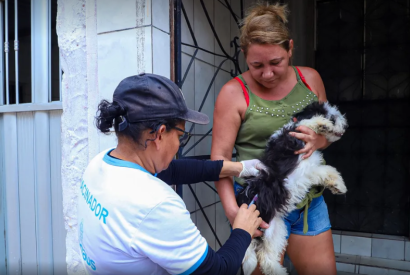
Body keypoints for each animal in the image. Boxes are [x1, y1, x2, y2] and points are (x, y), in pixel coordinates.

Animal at [237, 102, 350, 275]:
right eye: (332, 117)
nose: (345, 125)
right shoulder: (294, 147)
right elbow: (307, 127)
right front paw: (322, 124)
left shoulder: (310, 169)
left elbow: (328, 171)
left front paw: (338, 186)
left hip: (275, 229)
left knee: (267, 259)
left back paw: (280, 271)